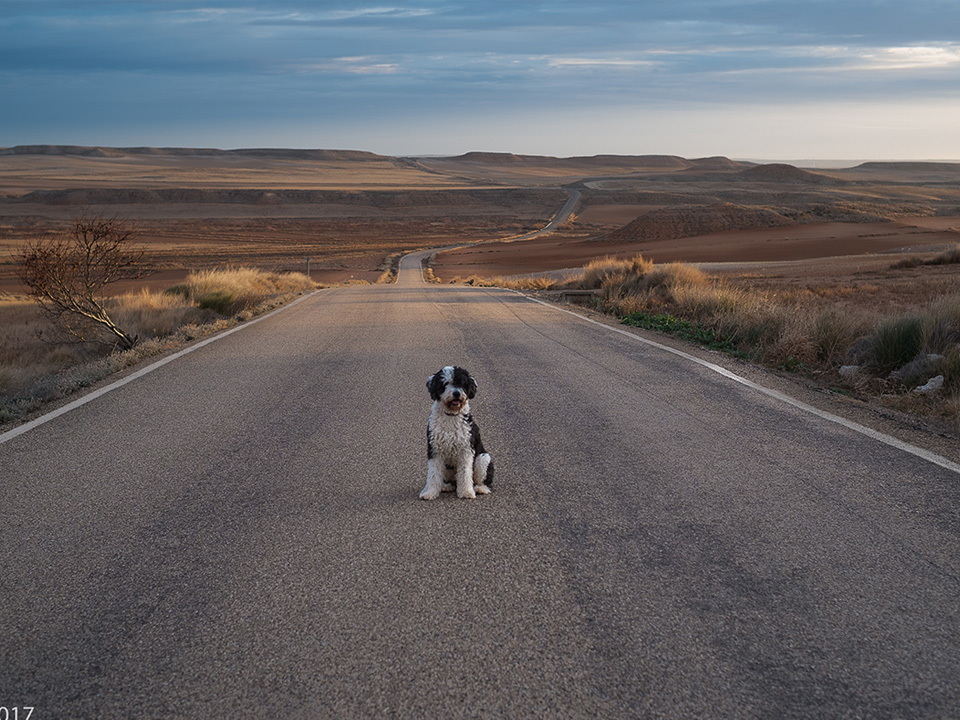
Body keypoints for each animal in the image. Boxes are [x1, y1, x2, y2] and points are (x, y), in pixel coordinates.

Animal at [420, 366, 496, 500]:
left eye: (462, 383)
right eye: (445, 383)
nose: (456, 393)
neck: (451, 416)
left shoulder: (466, 450)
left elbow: (465, 473)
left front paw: (466, 492)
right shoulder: (435, 450)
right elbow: (433, 475)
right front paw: (430, 492)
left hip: (483, 458)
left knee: (483, 481)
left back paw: (480, 488)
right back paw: (446, 486)